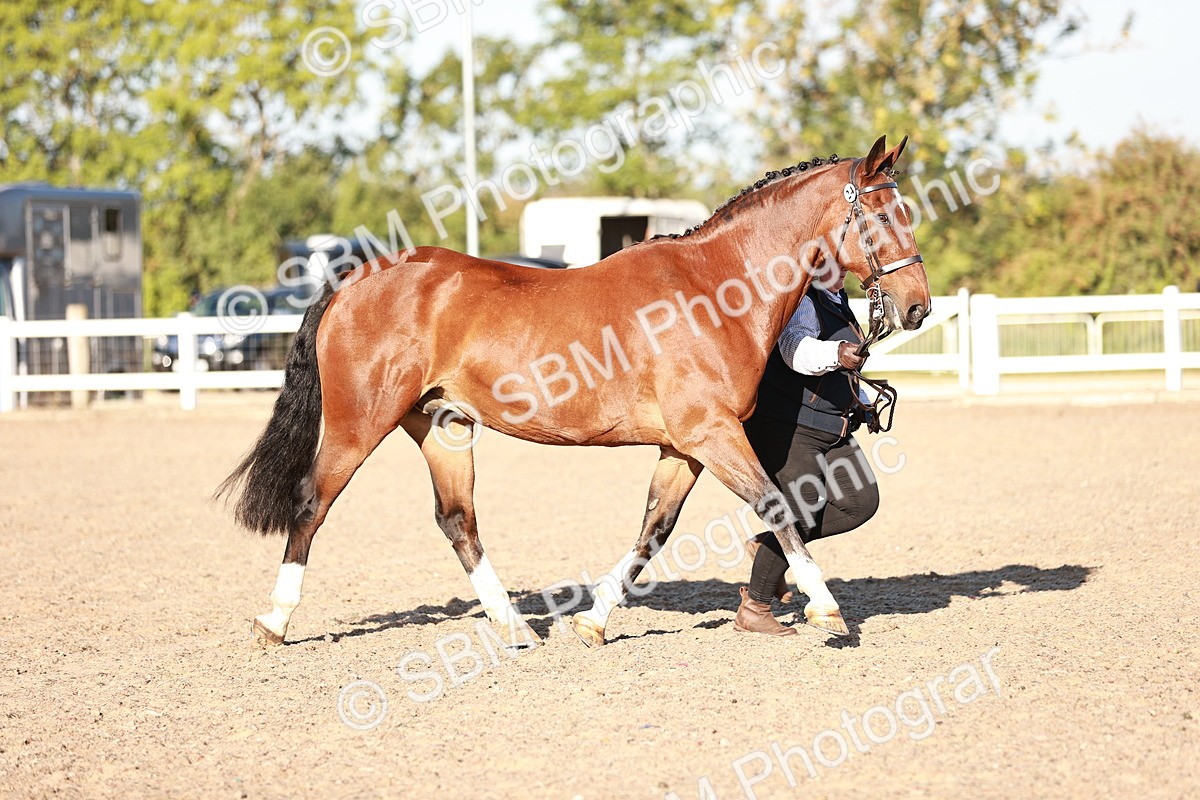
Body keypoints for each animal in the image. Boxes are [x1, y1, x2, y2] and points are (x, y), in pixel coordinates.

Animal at [218, 134, 930, 649]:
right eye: (883, 215)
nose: (917, 306)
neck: (716, 287)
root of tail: (353, 280)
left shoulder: (686, 448)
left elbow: (653, 530)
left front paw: (593, 622)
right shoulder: (712, 433)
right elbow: (776, 507)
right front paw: (829, 611)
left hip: (444, 426)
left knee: (458, 522)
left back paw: (514, 627)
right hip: (358, 422)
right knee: (312, 503)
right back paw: (274, 622)